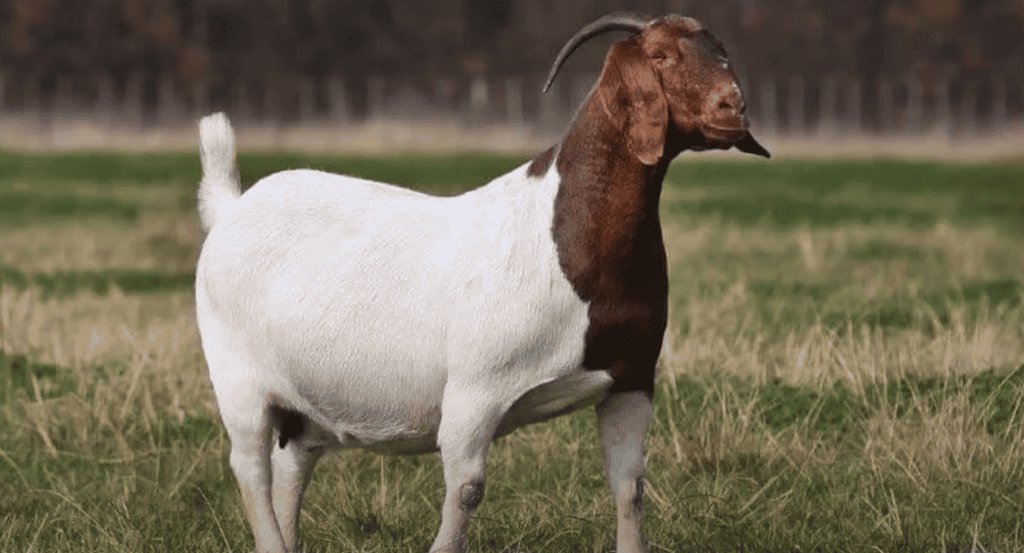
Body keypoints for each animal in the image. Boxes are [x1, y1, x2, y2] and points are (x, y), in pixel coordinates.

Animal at [194, 12, 769, 553]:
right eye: (660, 55)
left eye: (719, 48)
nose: (733, 107)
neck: (560, 235)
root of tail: (231, 208)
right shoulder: (474, 392)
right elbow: (467, 490)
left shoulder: (631, 380)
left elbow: (630, 487)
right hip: (237, 378)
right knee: (251, 468)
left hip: (303, 397)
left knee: (294, 463)